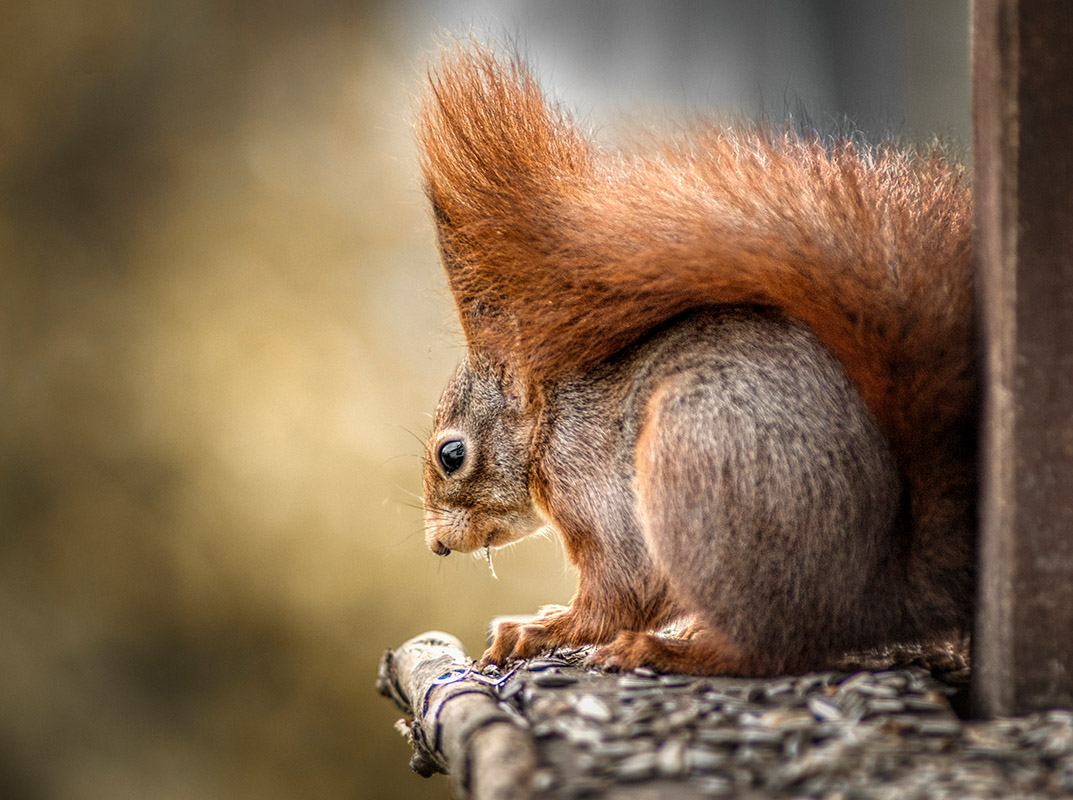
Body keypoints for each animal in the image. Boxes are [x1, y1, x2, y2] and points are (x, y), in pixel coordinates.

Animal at [416, 40, 974, 669]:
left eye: (452, 454)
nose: (437, 546)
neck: (547, 427)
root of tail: (878, 596)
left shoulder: (587, 479)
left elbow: (620, 591)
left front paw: (536, 629)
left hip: (694, 461)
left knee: (764, 650)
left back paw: (665, 651)